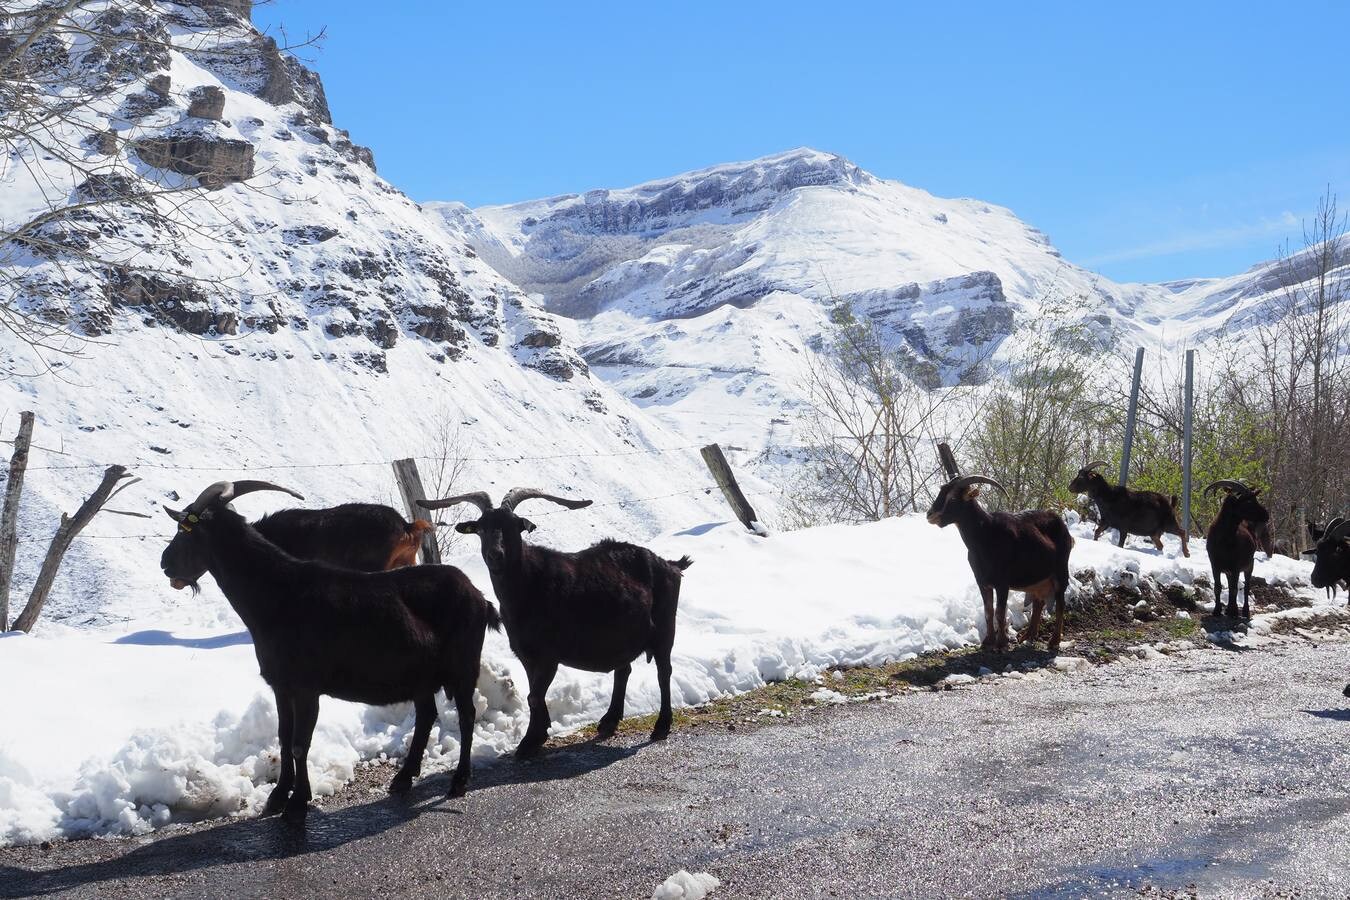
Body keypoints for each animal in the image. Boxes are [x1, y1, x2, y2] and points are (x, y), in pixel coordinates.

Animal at [157, 483, 496, 820]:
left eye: (184, 530)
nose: (165, 563)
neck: (277, 594)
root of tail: (479, 597)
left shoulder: (307, 687)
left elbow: (299, 743)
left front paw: (297, 804)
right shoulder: (281, 686)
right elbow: (283, 738)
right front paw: (277, 797)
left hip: (464, 666)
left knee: (466, 715)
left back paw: (458, 781)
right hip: (422, 677)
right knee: (427, 714)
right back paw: (403, 778)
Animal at [418, 488, 696, 755]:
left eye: (513, 526)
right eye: (481, 528)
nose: (495, 554)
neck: (528, 585)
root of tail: (670, 565)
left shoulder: (548, 655)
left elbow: (534, 696)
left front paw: (529, 742)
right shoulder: (526, 654)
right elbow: (534, 693)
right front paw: (538, 735)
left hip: (664, 629)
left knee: (664, 671)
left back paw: (661, 726)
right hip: (623, 637)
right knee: (623, 670)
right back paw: (609, 722)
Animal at [923, 474, 1069, 650]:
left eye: (952, 498)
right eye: (942, 491)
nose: (930, 514)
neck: (985, 535)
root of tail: (1062, 525)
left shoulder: (1002, 583)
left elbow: (1000, 611)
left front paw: (1001, 644)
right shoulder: (982, 582)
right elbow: (988, 611)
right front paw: (988, 641)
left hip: (1061, 571)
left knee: (1060, 604)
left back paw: (1054, 641)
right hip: (1038, 579)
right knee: (1038, 602)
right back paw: (1028, 636)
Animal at [1198, 477, 1269, 620]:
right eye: (1248, 501)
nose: (1267, 515)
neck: (1225, 538)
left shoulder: (1236, 565)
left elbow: (1235, 589)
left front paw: (1234, 612)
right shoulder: (1215, 564)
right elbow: (1218, 587)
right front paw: (1217, 611)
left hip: (1249, 565)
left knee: (1245, 587)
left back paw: (1244, 611)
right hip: (1228, 570)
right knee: (1231, 585)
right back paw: (1229, 609)